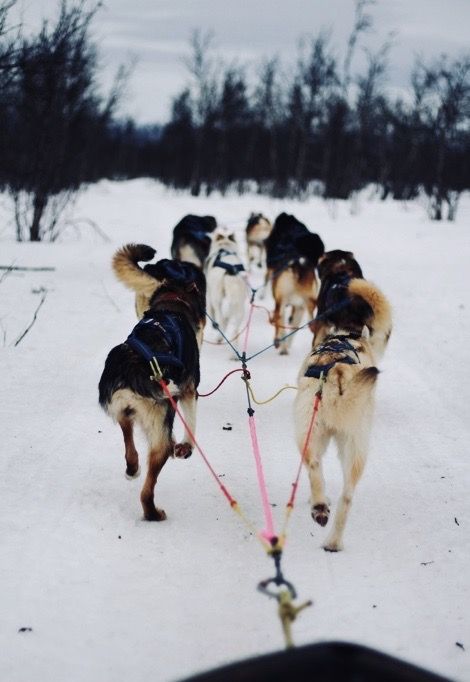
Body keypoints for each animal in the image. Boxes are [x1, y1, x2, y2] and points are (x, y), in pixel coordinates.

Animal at [98, 258, 206, 516]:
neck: (172, 306)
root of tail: (134, 369)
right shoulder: (189, 389)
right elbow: (191, 422)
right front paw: (187, 446)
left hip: (122, 410)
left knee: (128, 439)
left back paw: (132, 467)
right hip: (160, 433)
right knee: (147, 490)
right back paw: (153, 514)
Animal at [266, 212, 324, 354]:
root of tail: (298, 265)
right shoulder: (299, 307)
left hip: (282, 301)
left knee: (278, 319)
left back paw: (279, 343)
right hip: (307, 303)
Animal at [294, 322, 382, 548]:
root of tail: (338, 372)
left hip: (312, 435)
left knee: (317, 470)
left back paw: (321, 510)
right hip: (351, 444)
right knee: (341, 491)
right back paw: (330, 533)